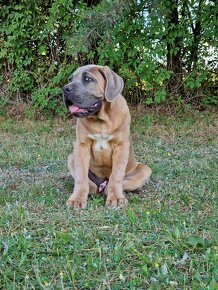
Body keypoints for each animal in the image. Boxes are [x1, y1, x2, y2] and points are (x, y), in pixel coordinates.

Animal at [63, 65, 152, 208]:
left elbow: (117, 175)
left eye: (88, 79)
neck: (101, 120)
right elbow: (81, 176)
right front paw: (77, 199)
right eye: (70, 79)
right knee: (90, 184)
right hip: (71, 157)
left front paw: (116, 198)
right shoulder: (81, 146)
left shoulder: (121, 147)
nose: (65, 88)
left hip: (145, 169)